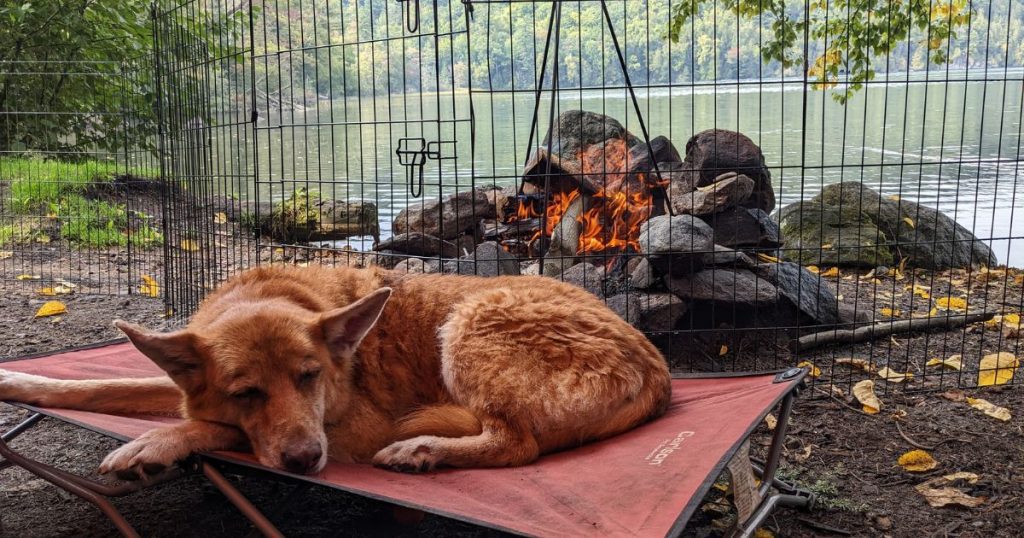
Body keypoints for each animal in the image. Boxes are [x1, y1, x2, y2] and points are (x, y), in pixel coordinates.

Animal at [0, 264, 671, 473]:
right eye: (246, 391)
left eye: (310, 377)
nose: (305, 461)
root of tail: (660, 368)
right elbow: (110, 383)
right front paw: (21, 382)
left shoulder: (353, 428)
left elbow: (215, 428)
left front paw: (154, 444)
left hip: (471, 322)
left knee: (518, 443)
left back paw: (423, 450)